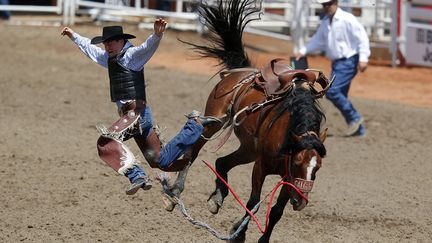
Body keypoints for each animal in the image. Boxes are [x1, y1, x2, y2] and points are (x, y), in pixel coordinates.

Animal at [165, 0, 328, 242]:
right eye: (298, 162)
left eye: (317, 167)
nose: (300, 202)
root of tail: (242, 70)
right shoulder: (261, 167)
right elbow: (254, 203)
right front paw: (238, 234)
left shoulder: (286, 176)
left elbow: (276, 211)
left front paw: (262, 238)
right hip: (216, 121)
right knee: (194, 149)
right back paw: (175, 192)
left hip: (249, 149)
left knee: (222, 162)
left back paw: (217, 199)